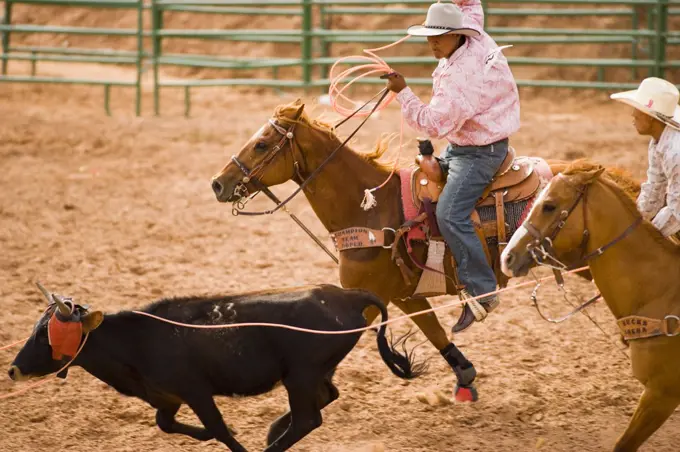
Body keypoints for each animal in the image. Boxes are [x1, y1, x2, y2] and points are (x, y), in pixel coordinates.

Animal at [209, 98, 612, 400]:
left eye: (261, 144)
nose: (217, 183)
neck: (370, 208)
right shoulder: (405, 296)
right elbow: (436, 334)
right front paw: (464, 379)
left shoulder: (368, 297)